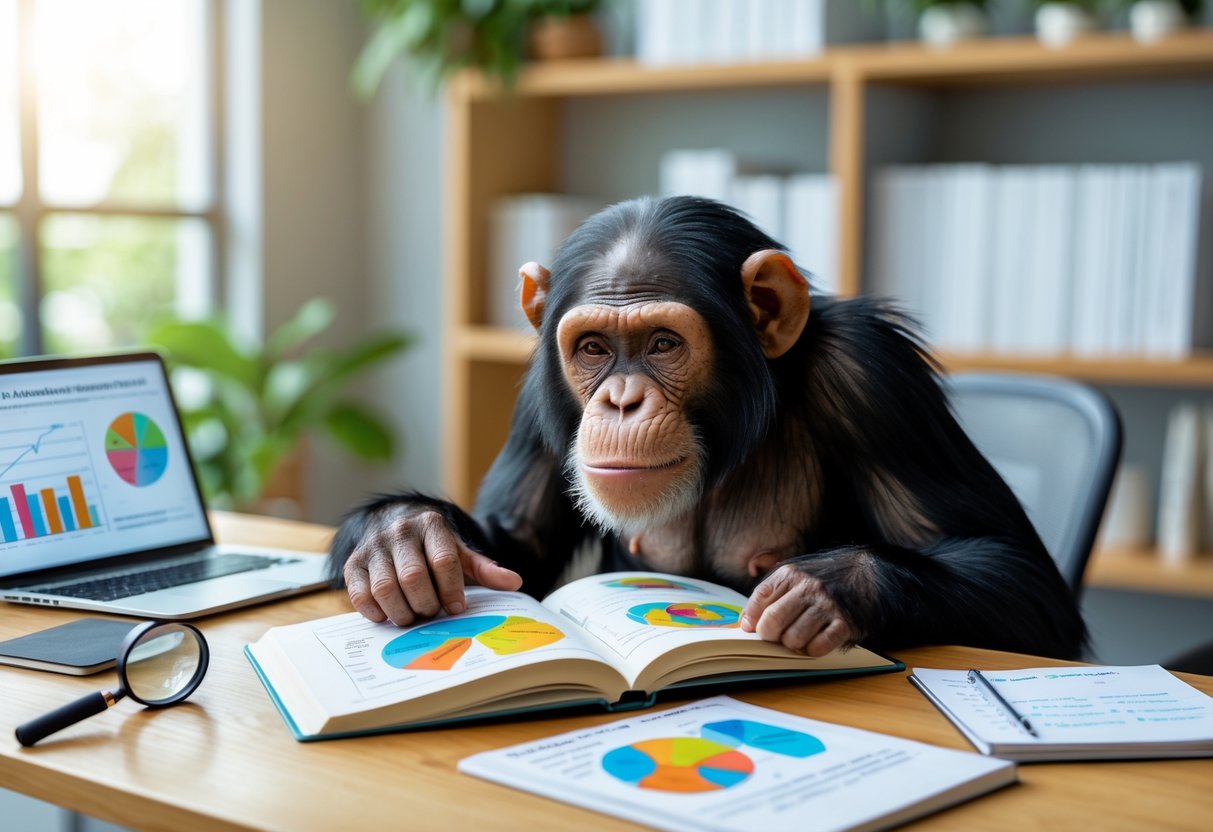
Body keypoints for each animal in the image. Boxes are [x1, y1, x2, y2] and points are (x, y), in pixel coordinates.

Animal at [329, 195, 1087, 660]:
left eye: (663, 343)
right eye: (593, 349)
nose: (621, 400)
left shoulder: (874, 373)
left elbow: (1014, 569)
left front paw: (832, 587)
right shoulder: (538, 394)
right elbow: (519, 548)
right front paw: (403, 538)